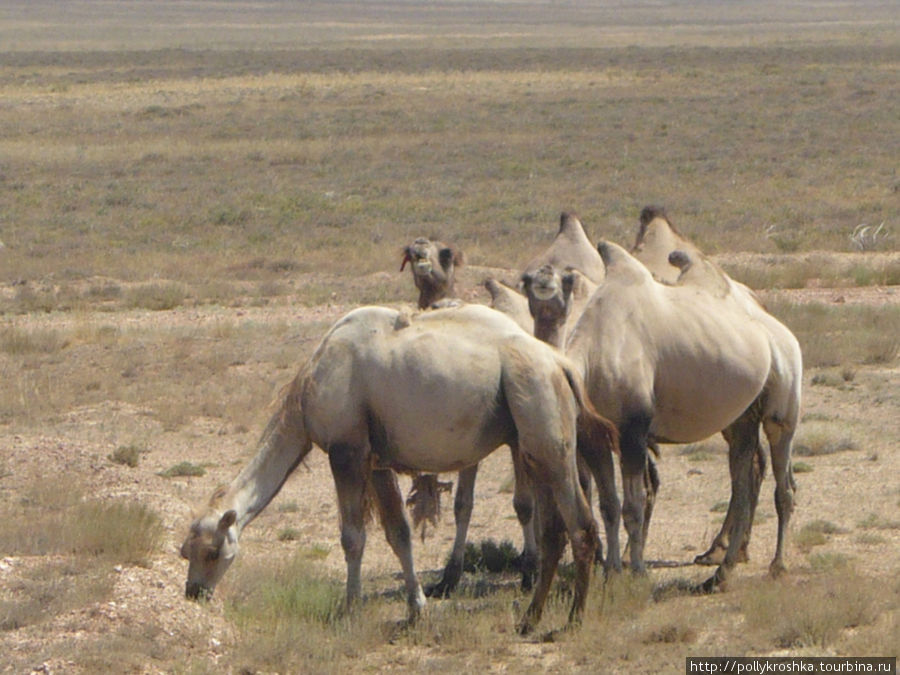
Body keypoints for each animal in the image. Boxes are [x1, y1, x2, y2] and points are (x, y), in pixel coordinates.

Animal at [181, 304, 620, 636]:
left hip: (545, 428)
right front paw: (416, 608)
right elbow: (399, 533)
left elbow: (352, 537)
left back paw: (573, 620)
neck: (308, 392)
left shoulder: (346, 451)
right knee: (554, 530)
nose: (193, 593)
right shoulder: (377, 461)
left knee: (581, 525)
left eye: (212, 551)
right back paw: (529, 619)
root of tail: (562, 365)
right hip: (530, 444)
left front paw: (349, 609)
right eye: (185, 551)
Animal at [568, 243, 800, 592]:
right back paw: (721, 573)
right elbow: (608, 505)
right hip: (742, 417)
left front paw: (637, 572)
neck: (591, 357)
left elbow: (633, 506)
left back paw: (777, 566)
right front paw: (611, 573)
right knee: (744, 482)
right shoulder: (598, 437)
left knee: (782, 483)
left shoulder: (633, 429)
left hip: (783, 401)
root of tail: (781, 331)